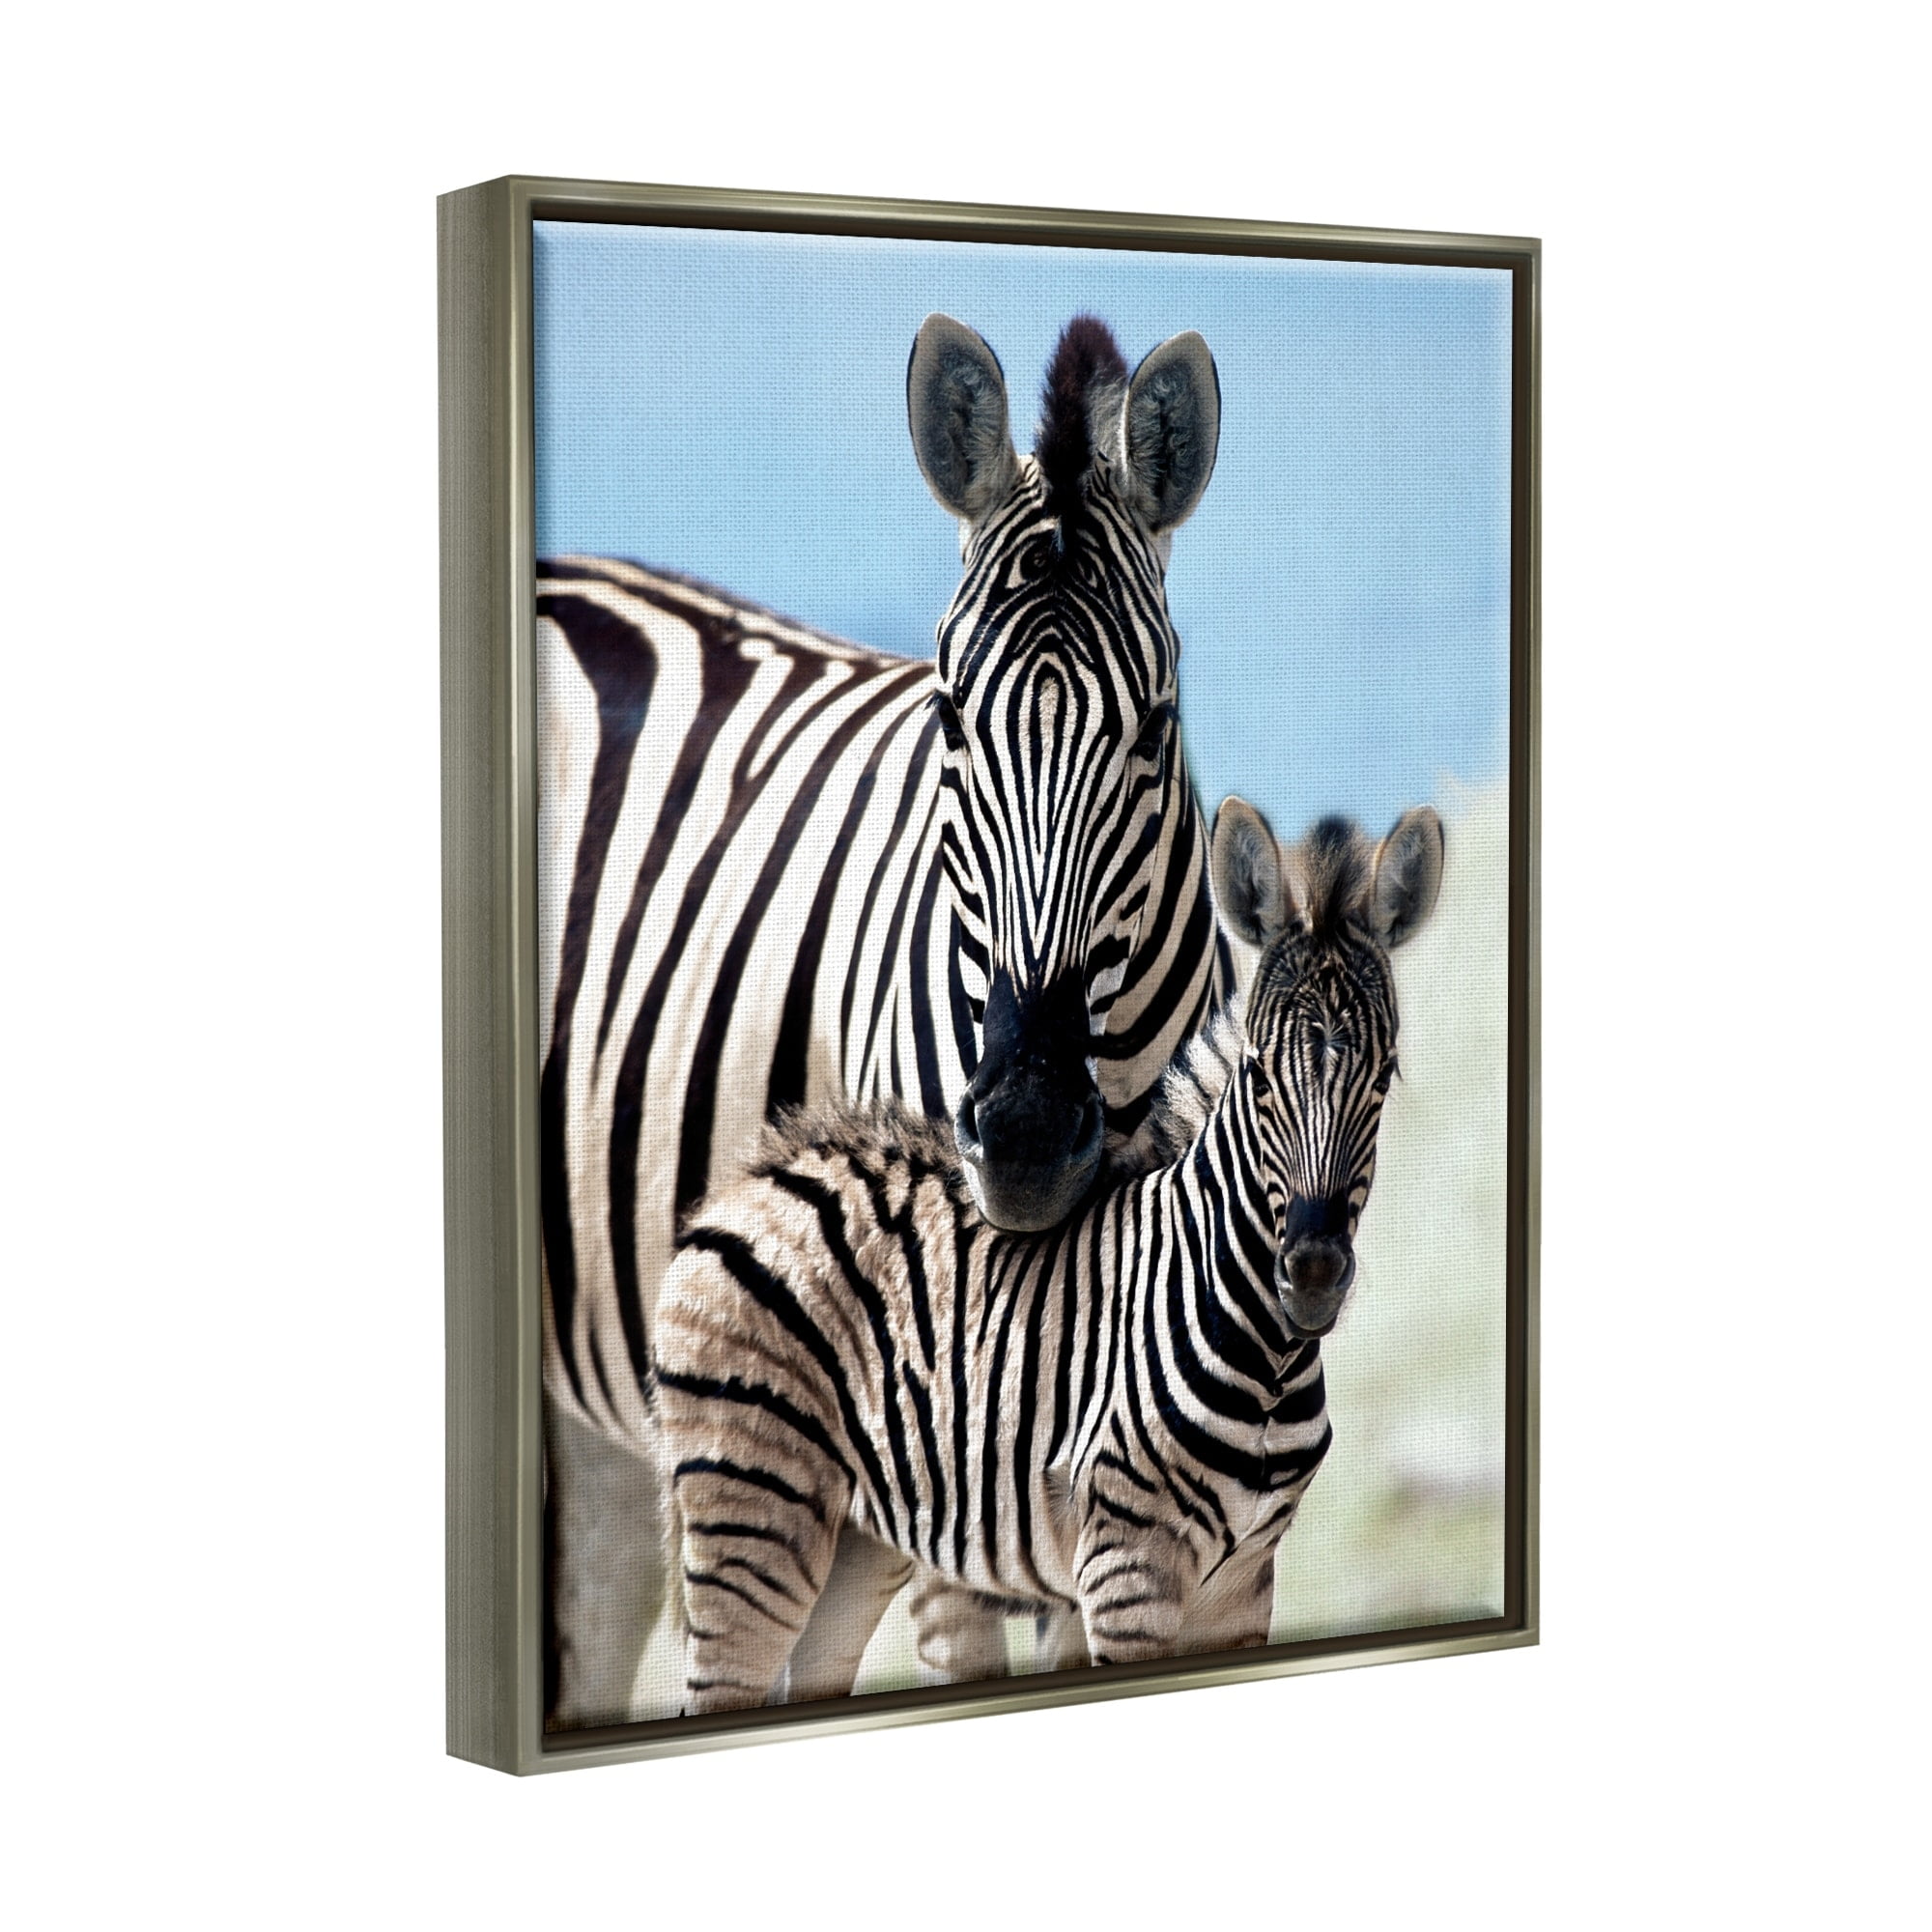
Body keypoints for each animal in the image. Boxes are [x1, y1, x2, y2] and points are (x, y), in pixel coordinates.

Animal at [652, 796, 1446, 1712]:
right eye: (1257, 1077)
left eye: (1385, 1077)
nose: (1313, 1274)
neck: (1268, 1355)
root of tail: (747, 1182)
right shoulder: (1128, 1564)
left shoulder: (1246, 1579)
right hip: (749, 1511)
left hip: (854, 1541)